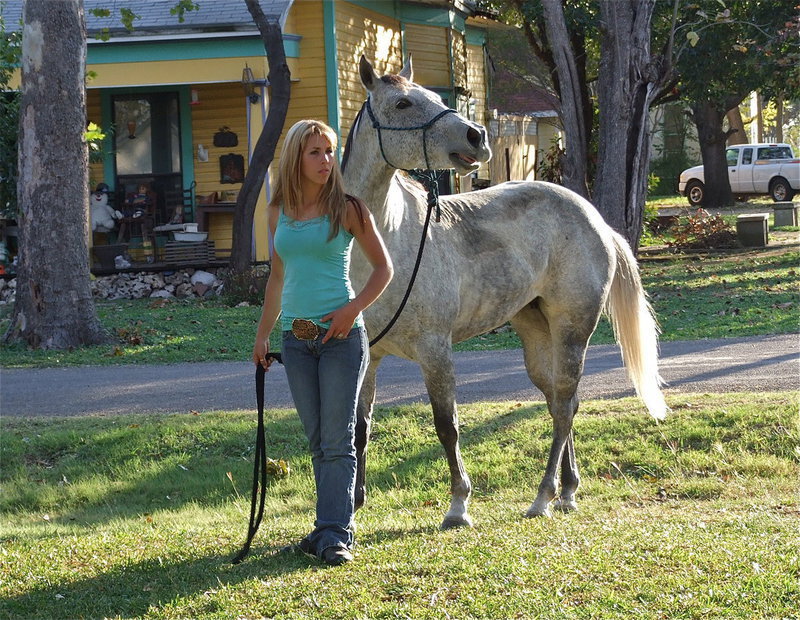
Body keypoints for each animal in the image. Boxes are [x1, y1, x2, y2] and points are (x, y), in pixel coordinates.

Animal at [344, 55, 668, 524]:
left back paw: (544, 495)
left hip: (572, 330)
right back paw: (568, 490)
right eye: (403, 103)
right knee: (561, 402)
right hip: (535, 333)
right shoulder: (368, 355)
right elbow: (360, 429)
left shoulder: (435, 350)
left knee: (564, 404)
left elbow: (447, 426)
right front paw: (352, 506)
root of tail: (595, 218)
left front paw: (458, 504)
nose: (476, 137)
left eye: (435, 97)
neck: (389, 241)